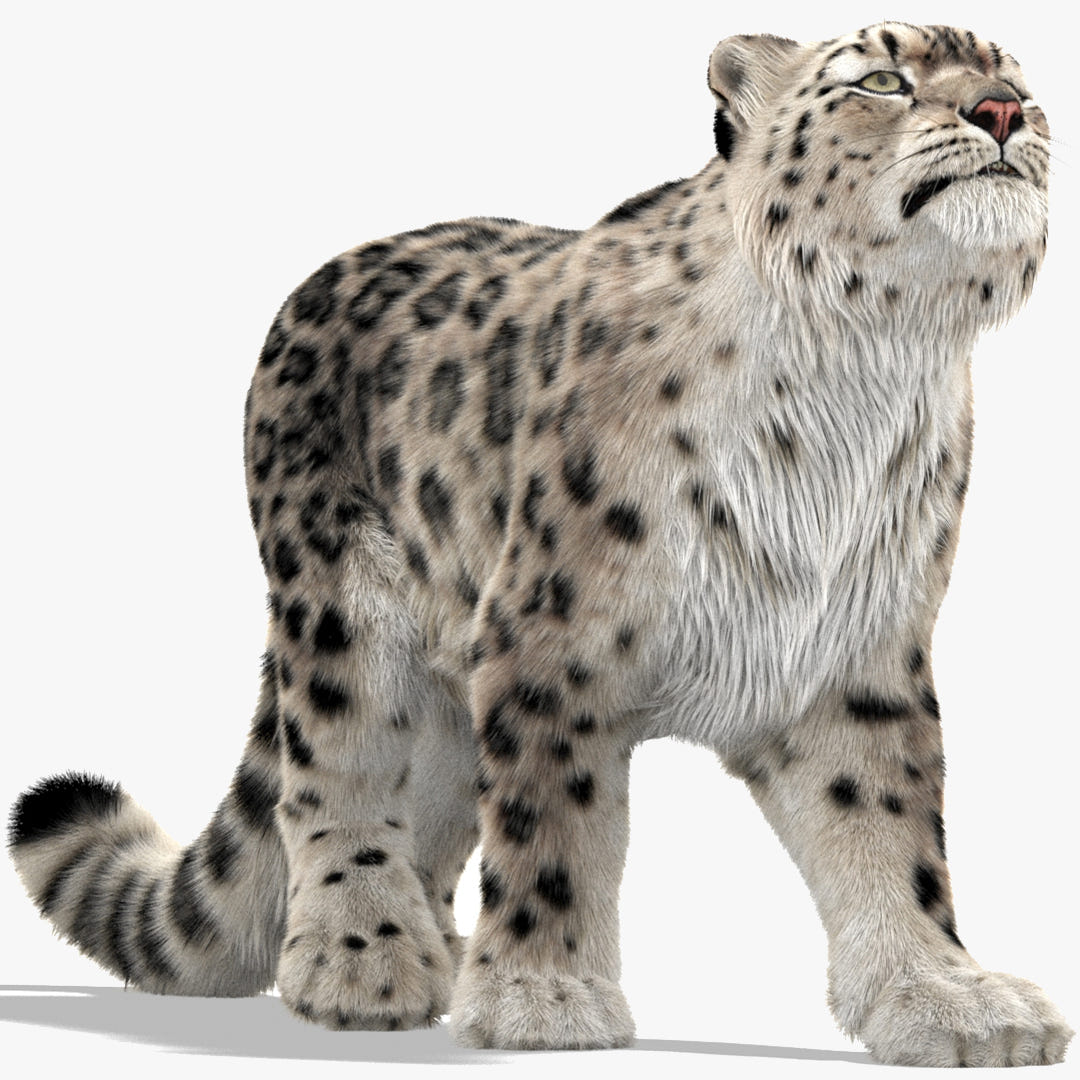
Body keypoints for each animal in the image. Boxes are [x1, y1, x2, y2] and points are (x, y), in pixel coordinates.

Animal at [8, 21, 1073, 1066]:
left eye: (1018, 78)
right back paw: (361, 960)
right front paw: (543, 996)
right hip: (343, 611)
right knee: (332, 776)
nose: (1002, 112)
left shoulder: (855, 651)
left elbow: (889, 825)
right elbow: (553, 827)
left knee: (431, 806)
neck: (856, 376)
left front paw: (948, 998)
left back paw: (436, 949)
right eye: (883, 78)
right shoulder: (552, 642)